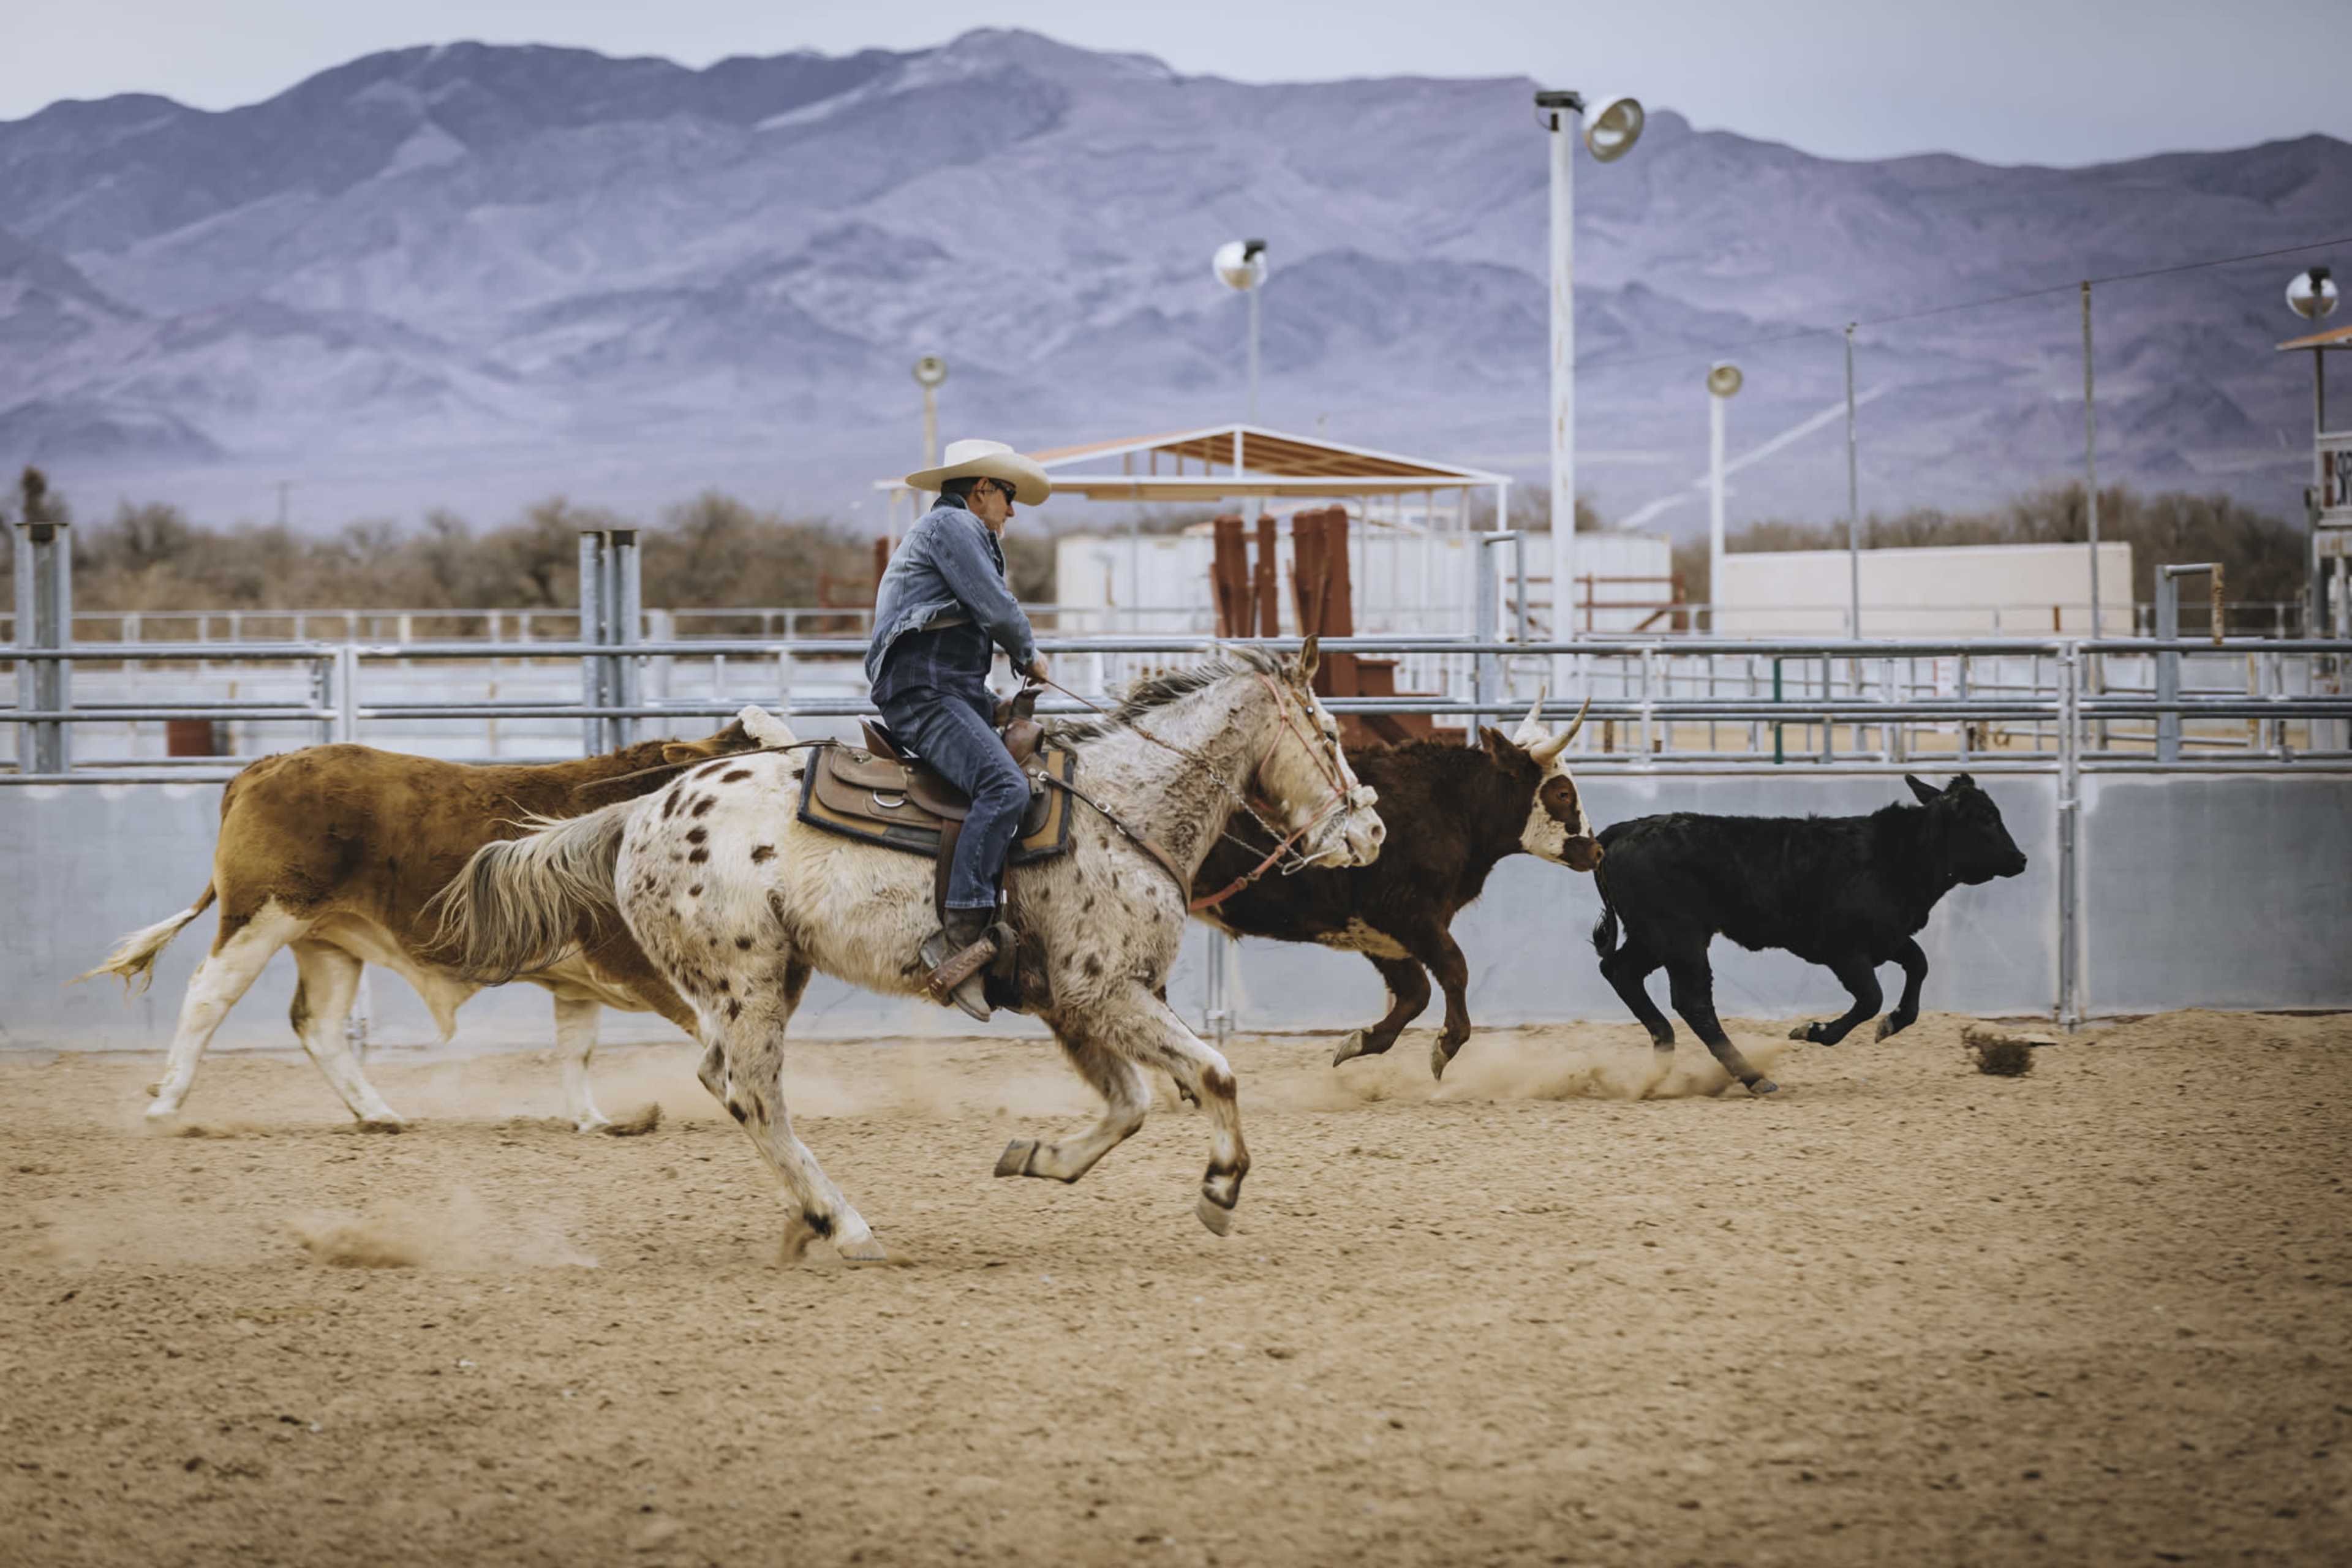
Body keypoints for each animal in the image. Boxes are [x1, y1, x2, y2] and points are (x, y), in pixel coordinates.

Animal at [79, 715, 762, 1129]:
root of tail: (266, 765)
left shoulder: (579, 981)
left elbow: (577, 1047)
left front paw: (593, 1120)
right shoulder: (644, 963)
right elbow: (715, 1032)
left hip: (327, 940)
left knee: (318, 1025)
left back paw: (378, 1113)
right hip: (262, 915)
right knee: (208, 994)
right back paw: (167, 1103)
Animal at [428, 641, 1384, 1262]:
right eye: (1331, 735)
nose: (1371, 832)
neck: (1123, 809)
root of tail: (636, 814)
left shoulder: (1074, 1006)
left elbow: (1131, 1106)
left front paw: (1035, 1157)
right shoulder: (1107, 993)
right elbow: (1214, 1073)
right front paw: (1221, 1187)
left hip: (763, 982)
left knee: (722, 1081)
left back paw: (807, 1219)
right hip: (749, 982)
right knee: (754, 1095)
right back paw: (845, 1224)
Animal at [1196, 695, 1601, 1079]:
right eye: (1563, 794)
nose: (1596, 851)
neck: (1449, 804)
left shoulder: (1378, 931)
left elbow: (1416, 991)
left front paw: (1361, 1041)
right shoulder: (1407, 915)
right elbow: (1454, 969)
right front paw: (1447, 1044)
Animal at [1589, 772, 2029, 1095]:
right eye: (1985, 819)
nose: (2021, 859)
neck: (1892, 856)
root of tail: (1625, 830)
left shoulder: (1887, 938)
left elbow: (1918, 966)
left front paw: (1892, 1023)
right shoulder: (1844, 950)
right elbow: (1871, 998)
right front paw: (1815, 1031)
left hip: (1654, 938)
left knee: (1620, 972)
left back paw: (1662, 1054)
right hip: (1680, 938)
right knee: (1693, 1003)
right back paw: (1753, 1077)